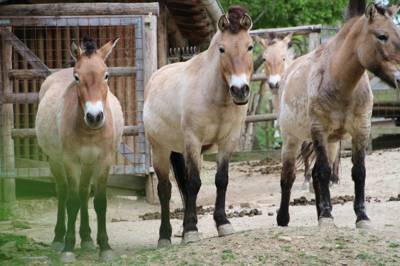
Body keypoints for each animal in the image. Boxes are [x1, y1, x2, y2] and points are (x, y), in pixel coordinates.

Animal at [36, 36, 123, 262]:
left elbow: (99, 202)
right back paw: (59, 238)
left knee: (84, 193)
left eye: (106, 75)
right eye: (77, 77)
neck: (89, 131)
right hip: (56, 162)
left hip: (89, 164)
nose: (94, 117)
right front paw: (68, 248)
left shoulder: (103, 162)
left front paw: (105, 247)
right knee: (63, 192)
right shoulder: (71, 162)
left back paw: (86, 238)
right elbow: (72, 201)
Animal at [142, 6, 252, 247]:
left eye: (250, 46)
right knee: (165, 189)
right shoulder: (193, 140)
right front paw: (192, 230)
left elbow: (221, 180)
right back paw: (165, 236)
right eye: (222, 49)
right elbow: (193, 183)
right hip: (160, 150)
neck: (214, 96)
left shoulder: (228, 141)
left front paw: (223, 224)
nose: (240, 90)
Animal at [276, 0, 400, 229]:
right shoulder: (319, 131)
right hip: (292, 139)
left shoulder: (360, 130)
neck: (340, 83)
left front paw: (361, 217)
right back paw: (283, 219)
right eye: (382, 36)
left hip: (332, 143)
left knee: (315, 176)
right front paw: (327, 217)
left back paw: (319, 213)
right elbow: (325, 172)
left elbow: (358, 172)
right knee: (287, 176)